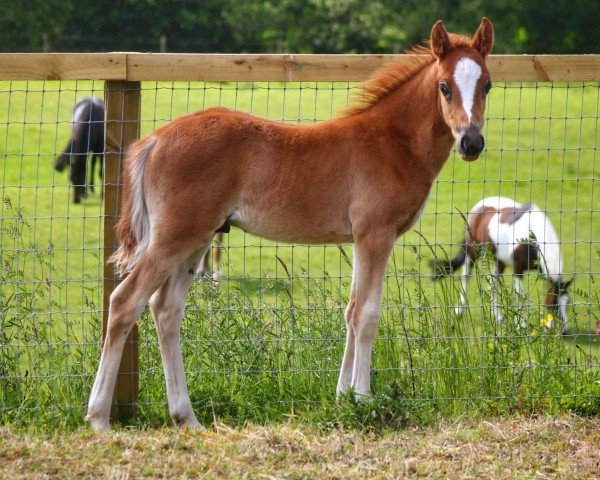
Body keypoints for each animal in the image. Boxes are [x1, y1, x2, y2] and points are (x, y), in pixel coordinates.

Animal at [86, 19, 494, 432]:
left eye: (488, 85)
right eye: (444, 86)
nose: (471, 142)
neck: (392, 142)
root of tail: (154, 139)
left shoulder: (361, 238)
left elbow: (350, 310)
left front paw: (344, 398)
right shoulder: (376, 234)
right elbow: (366, 315)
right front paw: (365, 400)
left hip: (196, 240)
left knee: (166, 310)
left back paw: (187, 417)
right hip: (174, 238)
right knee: (124, 303)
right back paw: (100, 417)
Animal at [432, 197, 572, 332]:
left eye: (568, 303)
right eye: (554, 302)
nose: (565, 330)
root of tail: (480, 206)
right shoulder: (517, 269)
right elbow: (520, 296)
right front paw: (521, 326)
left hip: (498, 260)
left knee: (492, 285)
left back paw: (498, 318)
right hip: (472, 251)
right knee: (466, 277)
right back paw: (459, 312)